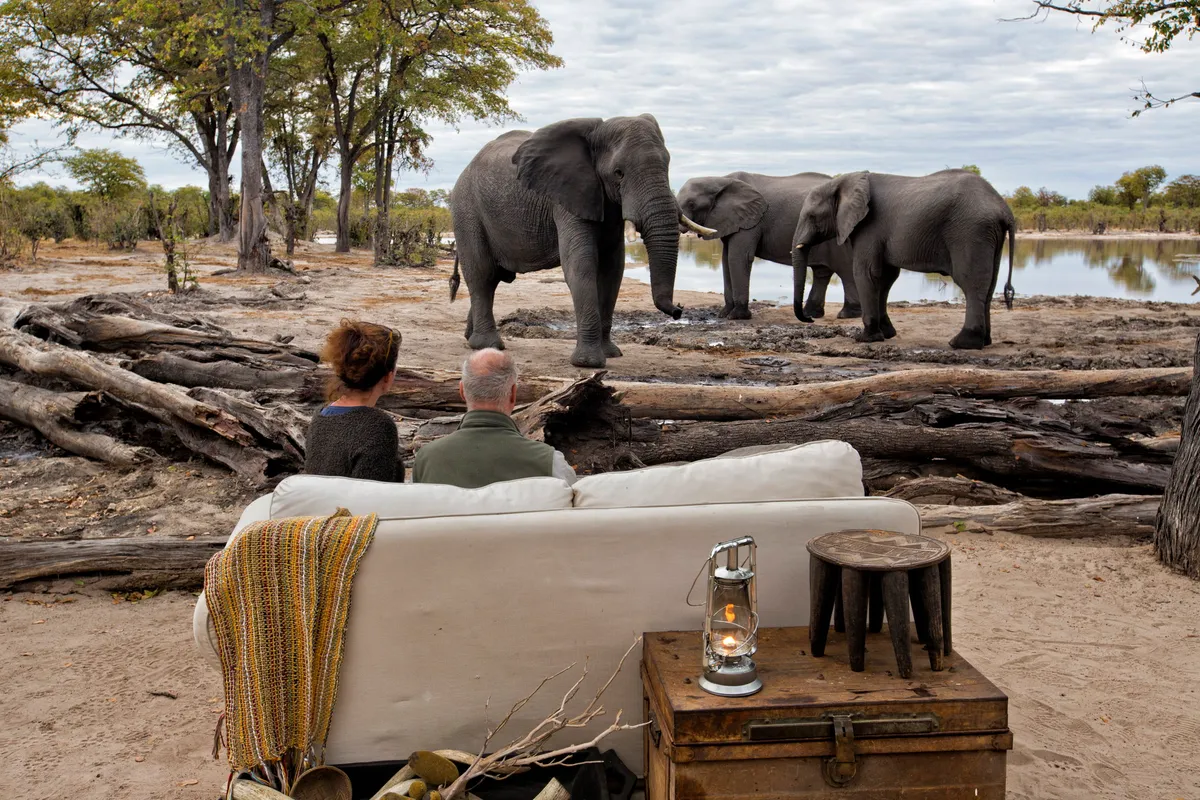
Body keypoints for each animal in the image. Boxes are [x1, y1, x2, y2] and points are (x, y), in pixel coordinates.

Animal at [449, 114, 716, 368]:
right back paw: (487, 345)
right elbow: (581, 264)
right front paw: (589, 363)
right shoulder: (567, 195)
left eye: (667, 165)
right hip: (467, 211)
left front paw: (611, 353)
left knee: (492, 279)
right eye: (618, 173)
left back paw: (471, 339)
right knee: (482, 274)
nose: (679, 309)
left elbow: (612, 270)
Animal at [676, 172, 861, 321]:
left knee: (844, 269)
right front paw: (724, 314)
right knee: (822, 271)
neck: (720, 179)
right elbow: (726, 259)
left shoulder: (752, 222)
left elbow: (738, 257)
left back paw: (848, 314)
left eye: (691, 204)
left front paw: (737, 317)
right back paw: (812, 314)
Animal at [792, 169, 1016, 349]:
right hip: (990, 236)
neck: (845, 180)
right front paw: (887, 334)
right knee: (989, 285)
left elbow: (866, 273)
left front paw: (865, 338)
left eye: (812, 217)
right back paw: (985, 342)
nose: (810, 319)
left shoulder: (869, 227)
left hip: (971, 232)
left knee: (970, 283)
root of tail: (1004, 209)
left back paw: (962, 344)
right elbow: (884, 277)